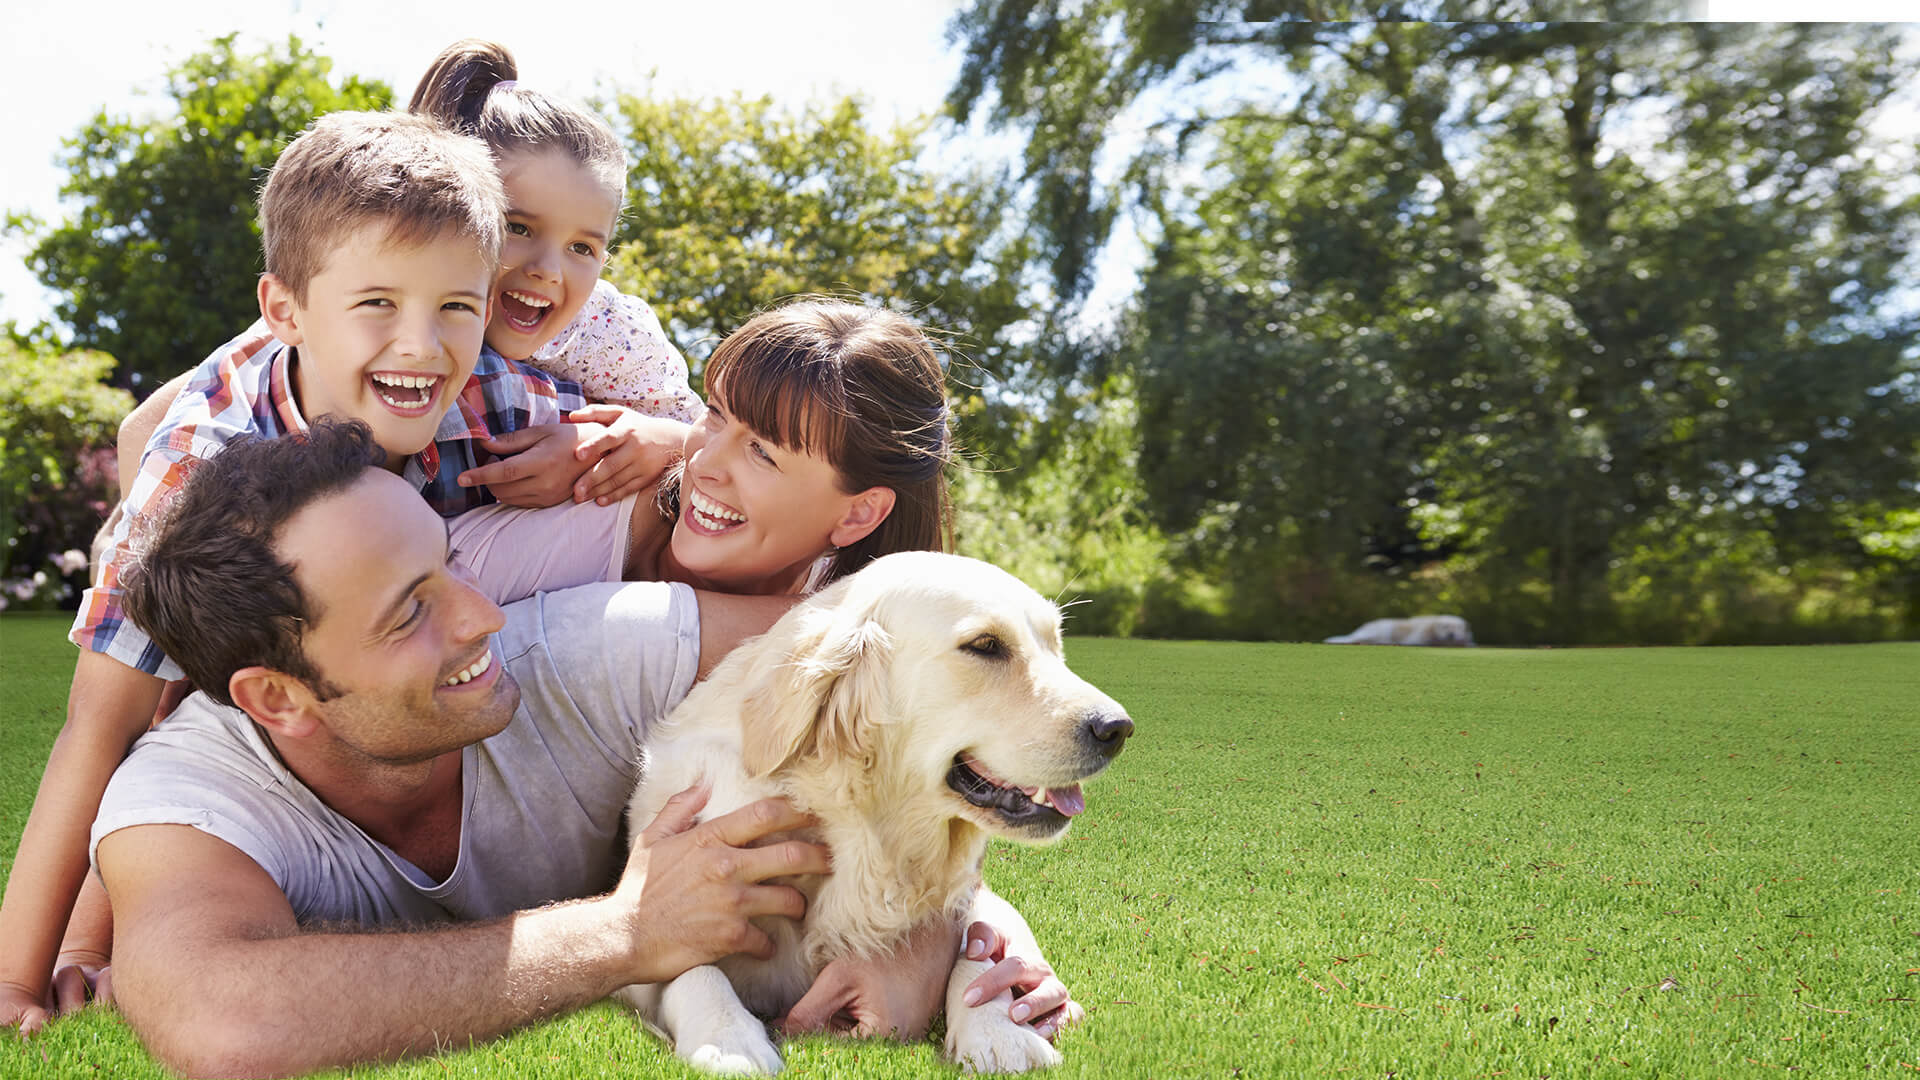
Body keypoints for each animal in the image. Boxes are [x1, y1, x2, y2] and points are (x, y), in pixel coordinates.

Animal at [610, 549, 1121, 1068]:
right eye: (985, 645)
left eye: (1055, 644)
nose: (1118, 728)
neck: (860, 831)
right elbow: (688, 963)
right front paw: (729, 1039)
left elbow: (977, 947)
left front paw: (1000, 1033)